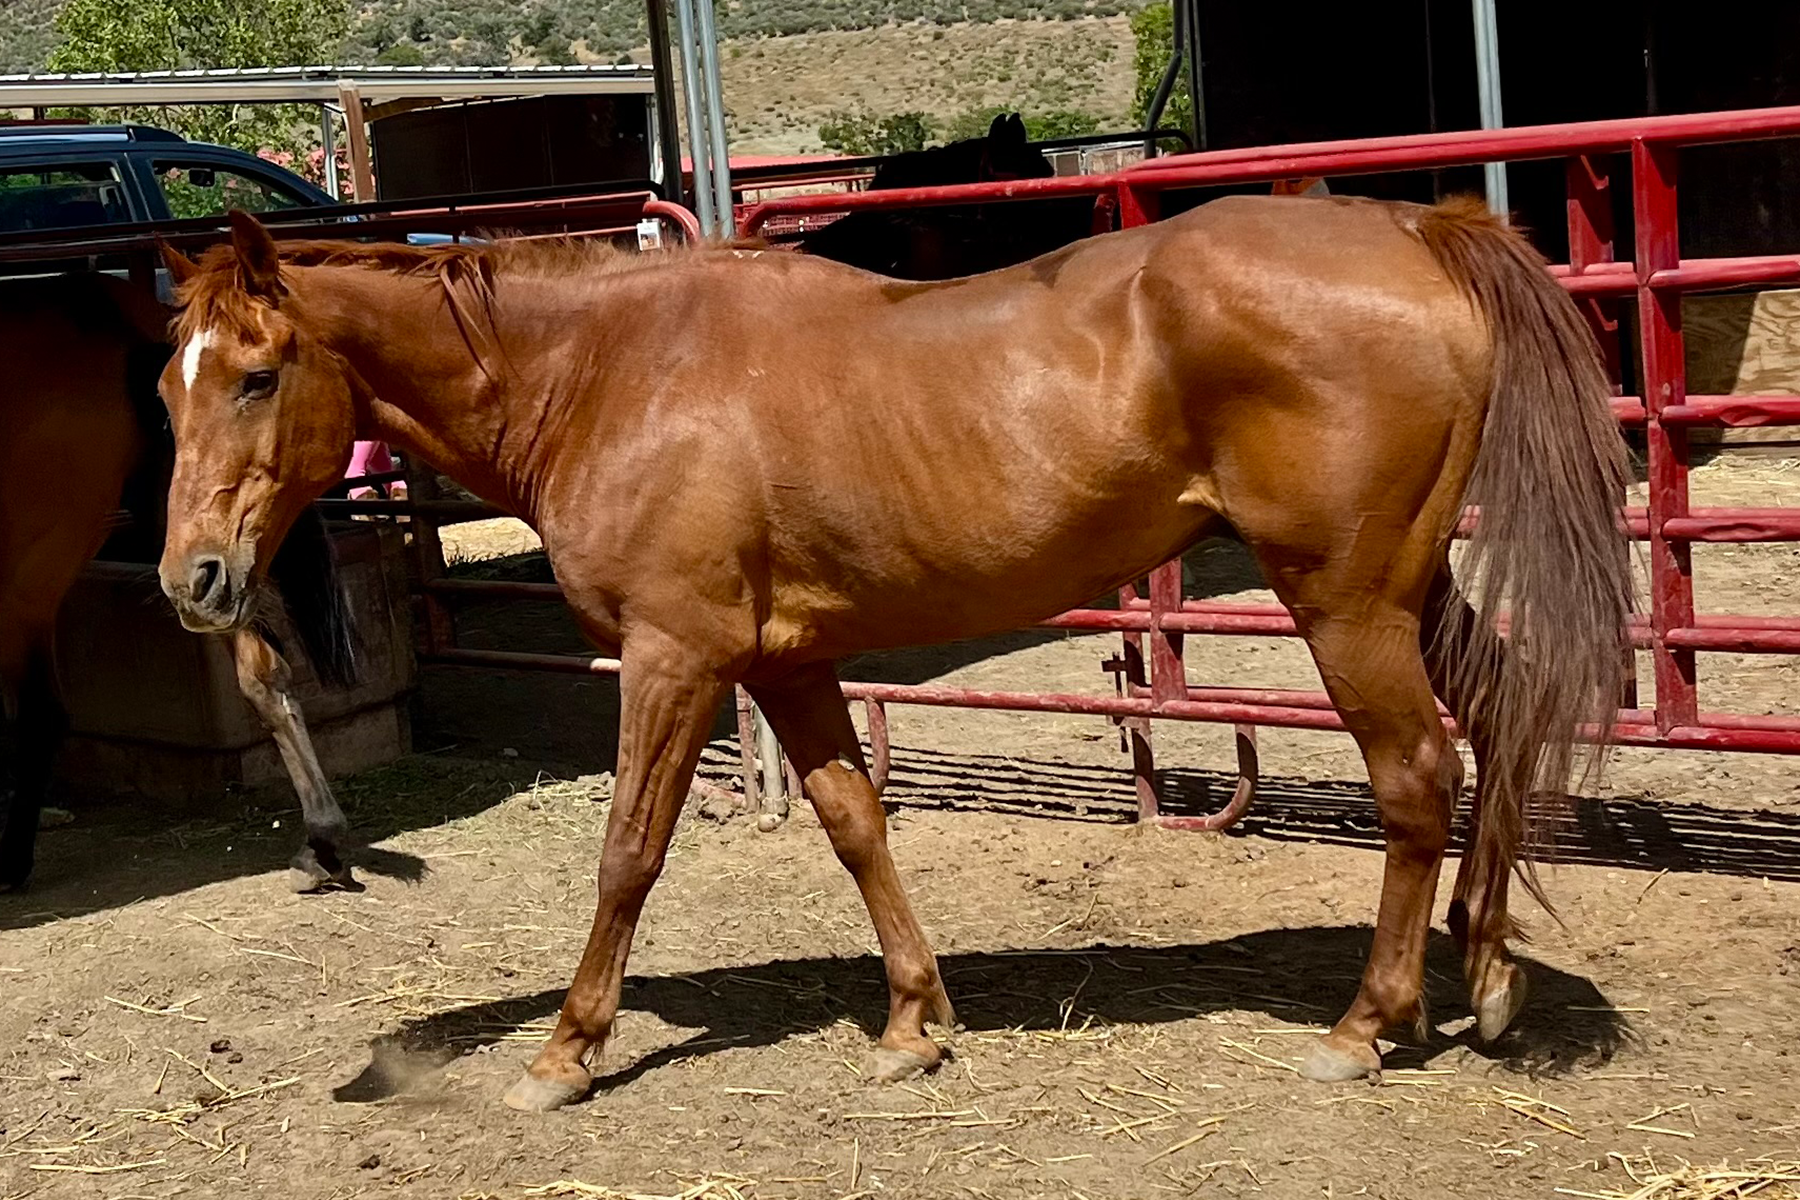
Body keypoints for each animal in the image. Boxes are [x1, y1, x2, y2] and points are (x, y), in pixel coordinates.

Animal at [153, 200, 1633, 1111]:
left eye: (257, 374)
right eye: (170, 380)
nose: (192, 581)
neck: (612, 372)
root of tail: (1412, 230)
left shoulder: (676, 657)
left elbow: (629, 849)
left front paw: (566, 1051)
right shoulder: (787, 665)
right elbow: (856, 823)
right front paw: (916, 1024)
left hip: (1344, 600)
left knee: (1416, 773)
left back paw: (1366, 1026)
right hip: (1406, 587)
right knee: (1501, 714)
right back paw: (1486, 974)